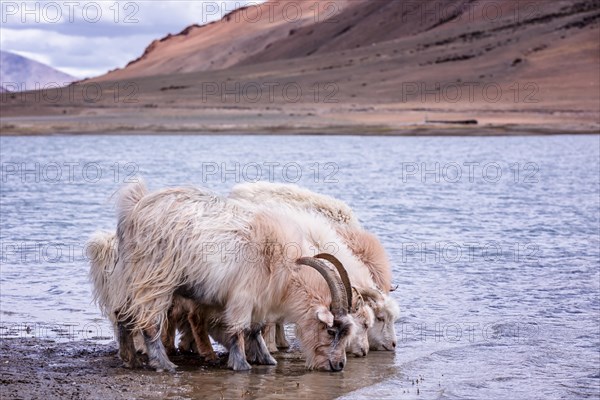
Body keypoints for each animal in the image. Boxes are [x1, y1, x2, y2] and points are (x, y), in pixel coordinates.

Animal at [109, 181, 354, 372]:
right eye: (331, 331)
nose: (339, 365)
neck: (282, 264)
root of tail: (134, 210)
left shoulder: (260, 300)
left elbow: (255, 329)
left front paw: (267, 359)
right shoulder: (242, 297)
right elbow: (238, 329)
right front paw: (241, 364)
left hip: (130, 277)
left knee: (121, 312)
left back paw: (130, 360)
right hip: (155, 279)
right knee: (148, 322)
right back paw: (164, 364)